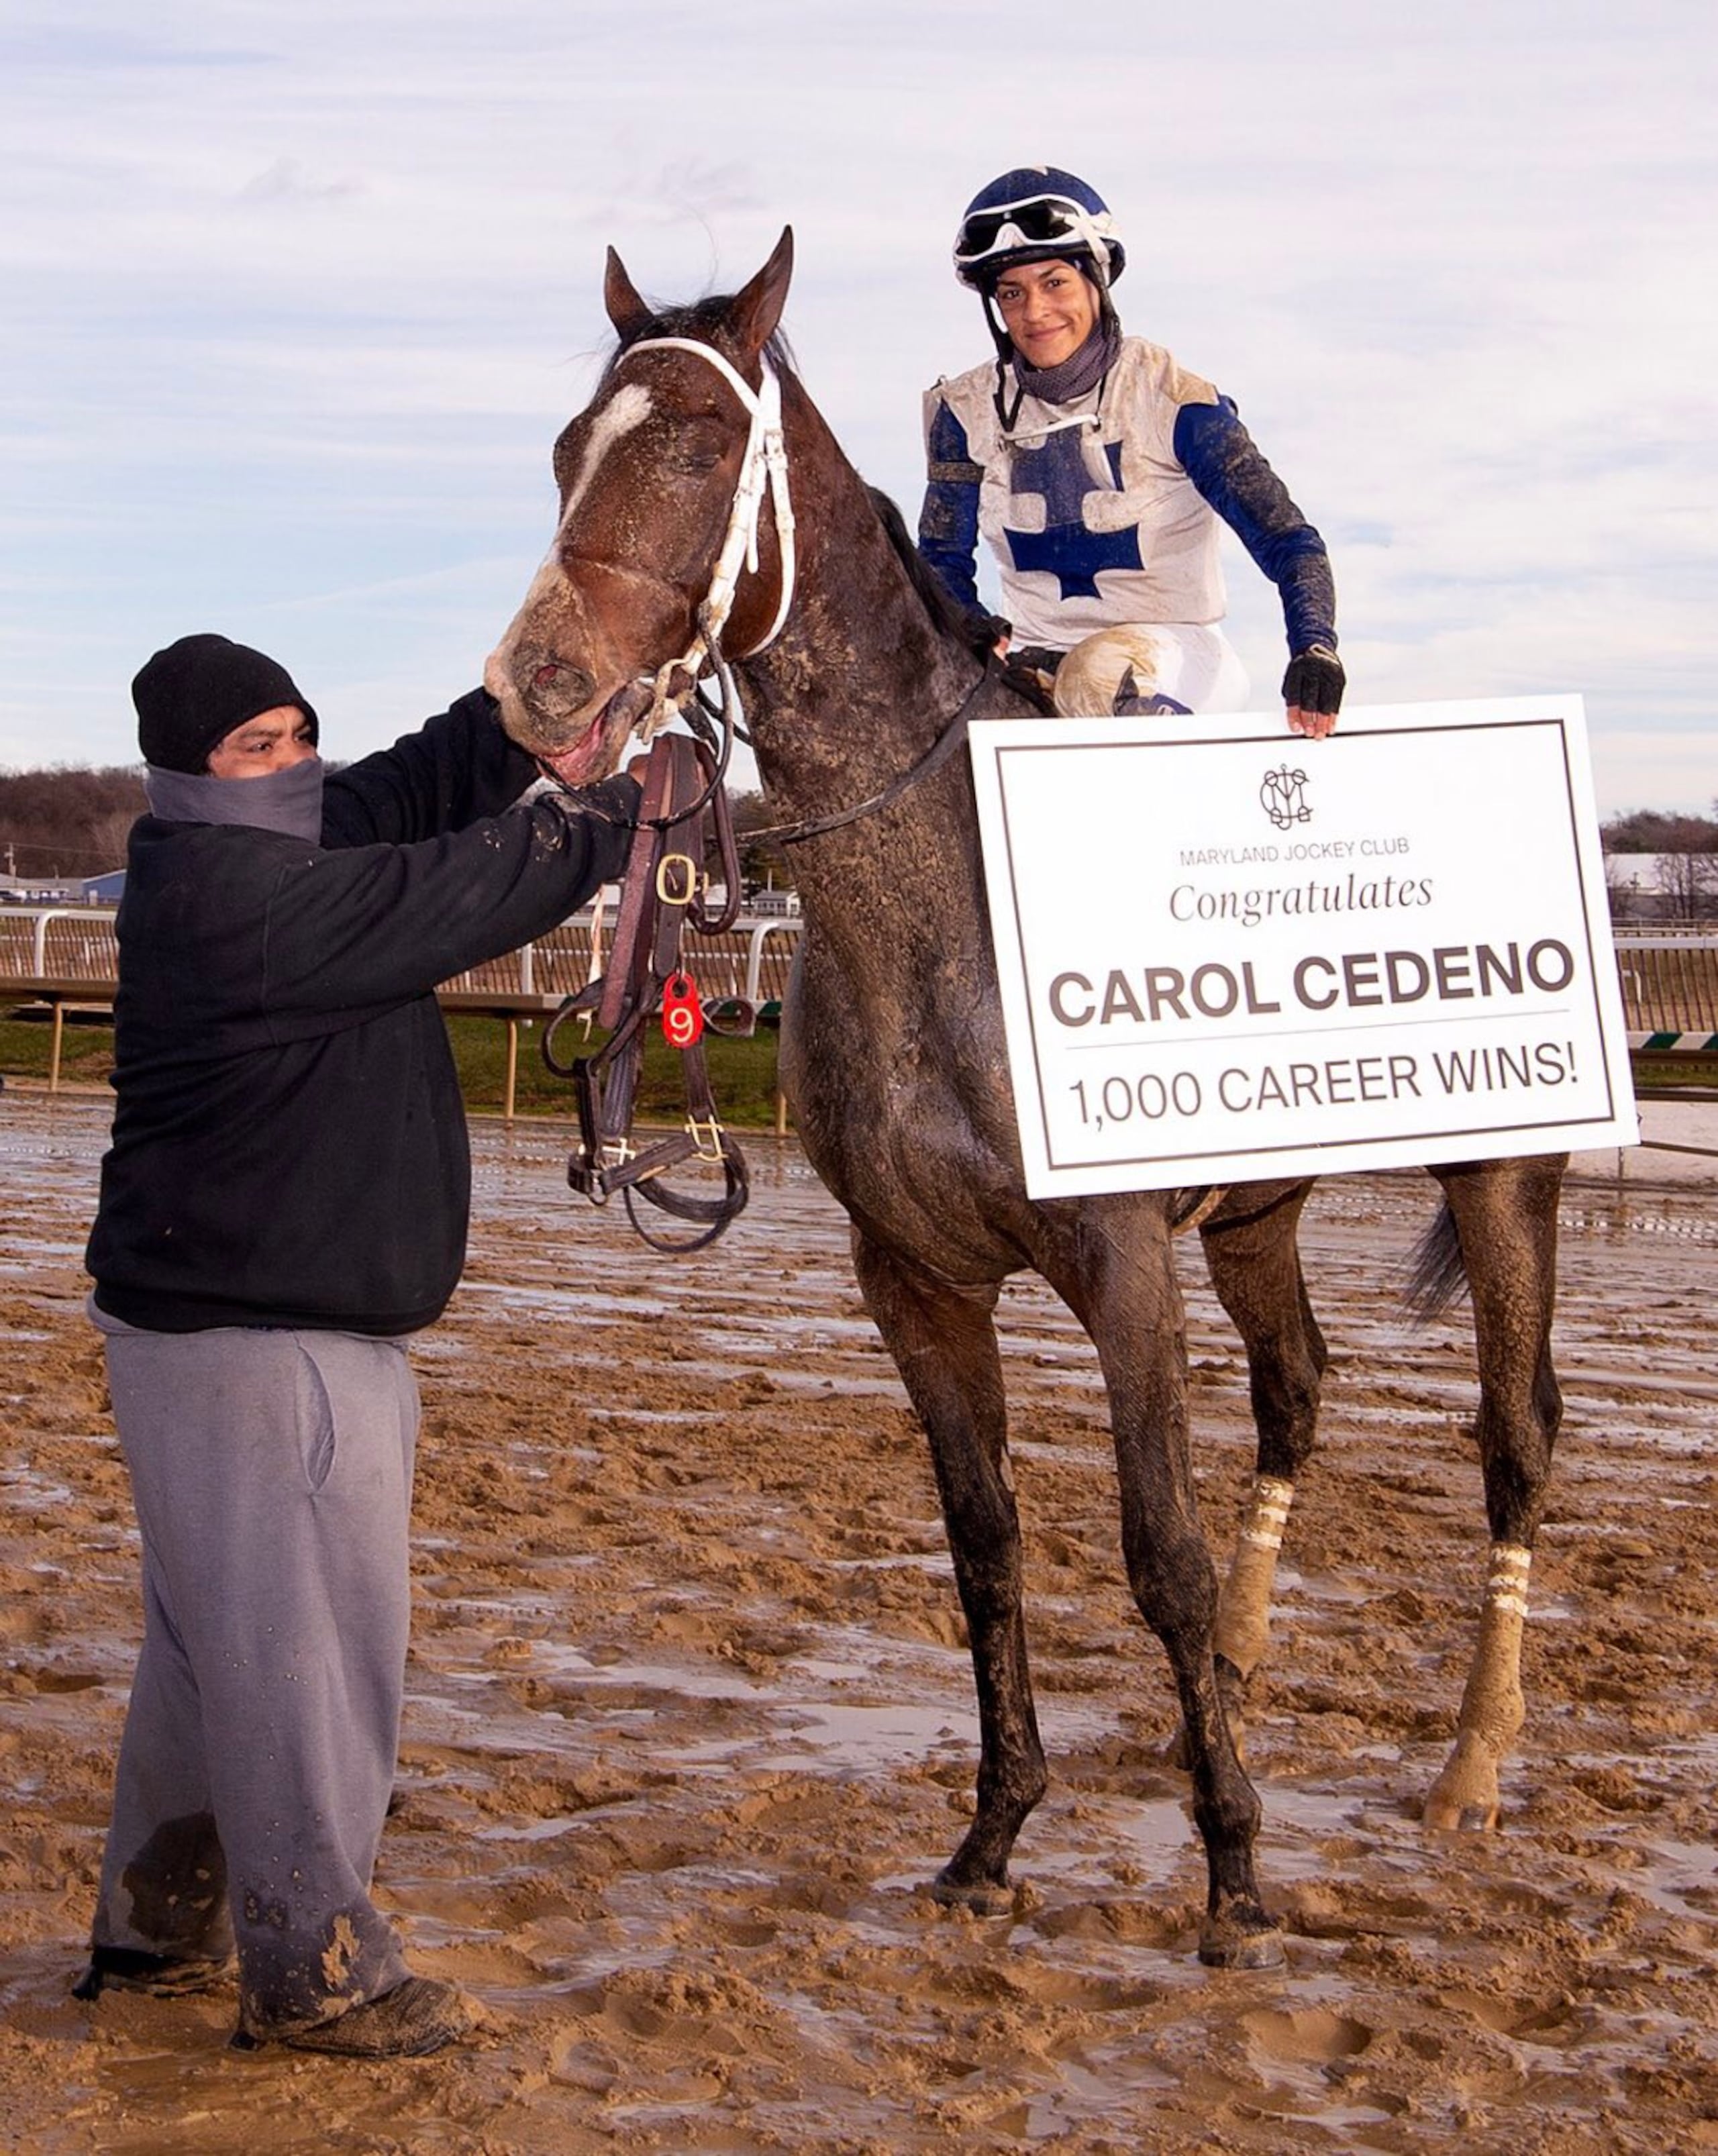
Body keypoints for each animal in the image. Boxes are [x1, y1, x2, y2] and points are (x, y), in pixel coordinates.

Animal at [483, 227, 1569, 1966]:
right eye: (568, 448)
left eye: (700, 447)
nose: (536, 680)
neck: (943, 906)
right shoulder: (914, 1280)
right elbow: (982, 1546)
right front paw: (992, 1837)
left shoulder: (1117, 1263)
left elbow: (1156, 1553)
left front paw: (1233, 1872)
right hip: (1256, 1212)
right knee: (1298, 1388)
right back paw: (1248, 1674)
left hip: (1503, 1175)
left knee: (1514, 1439)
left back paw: (1468, 1768)